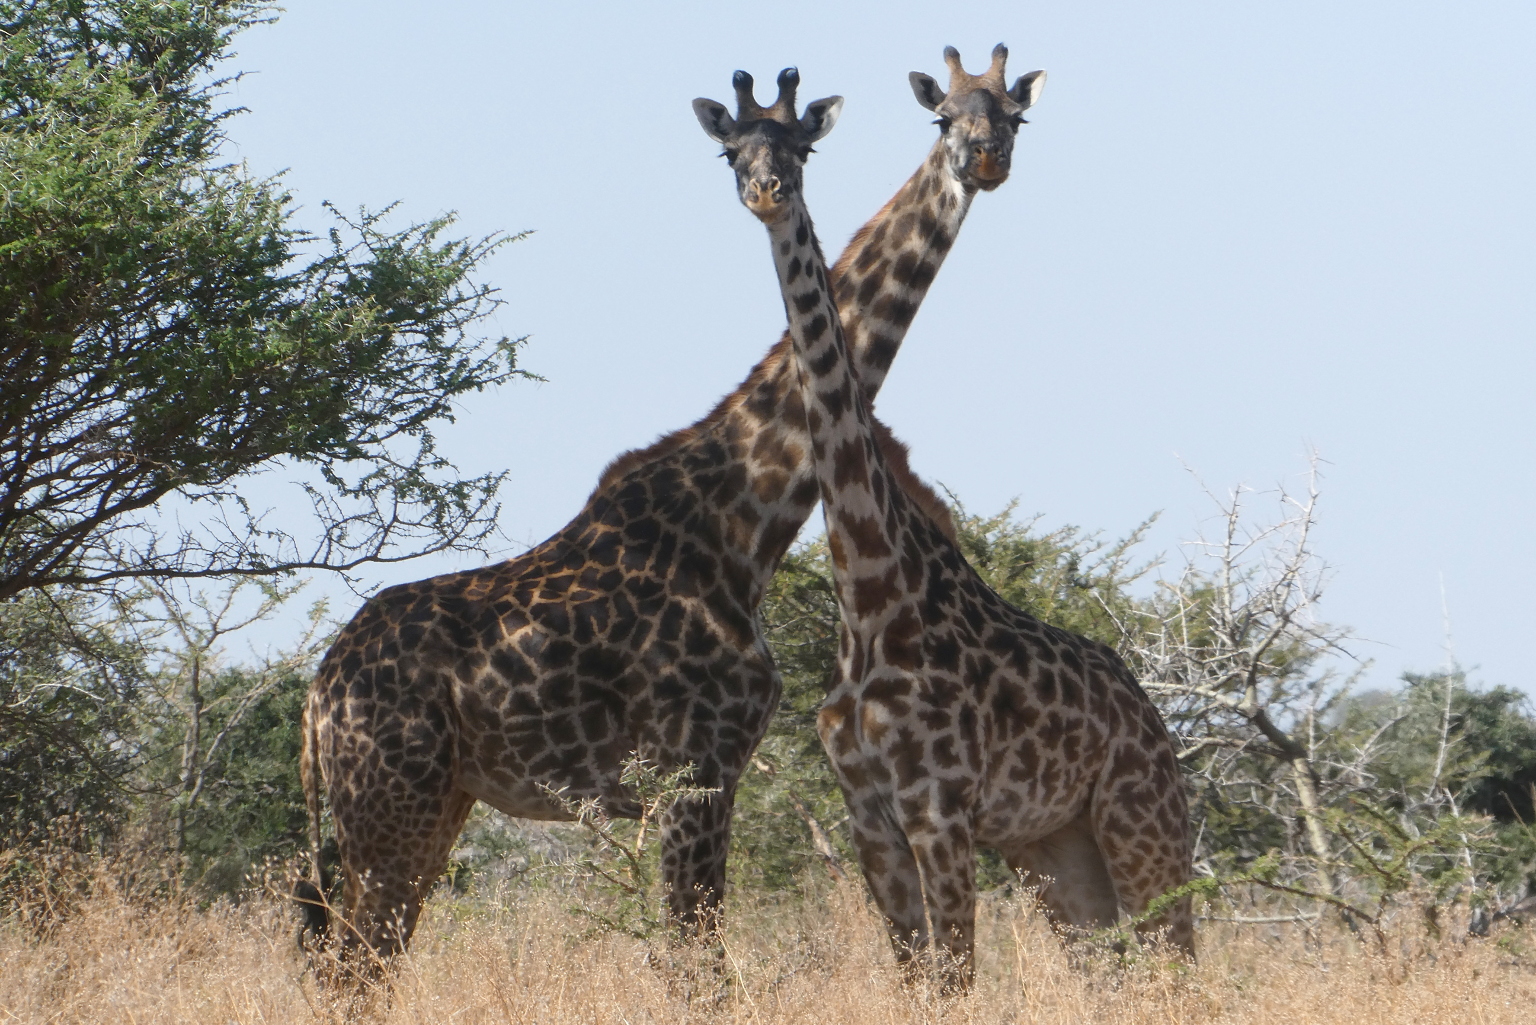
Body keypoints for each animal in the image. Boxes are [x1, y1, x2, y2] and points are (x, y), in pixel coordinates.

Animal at [296, 44, 1044, 965]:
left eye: (1012, 116)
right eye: (730, 153)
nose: (985, 159)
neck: (749, 516)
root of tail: (317, 695)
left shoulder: (704, 772)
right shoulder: (696, 766)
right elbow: (697, 959)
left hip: (431, 804)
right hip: (389, 806)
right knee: (353, 961)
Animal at [700, 49, 1198, 995]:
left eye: (803, 150)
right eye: (729, 151)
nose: (768, 191)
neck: (869, 591)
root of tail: (1152, 716)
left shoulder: (940, 807)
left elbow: (957, 978)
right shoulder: (868, 812)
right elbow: (916, 978)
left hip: (1141, 821)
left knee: (1179, 960)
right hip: (1056, 851)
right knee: (1111, 969)